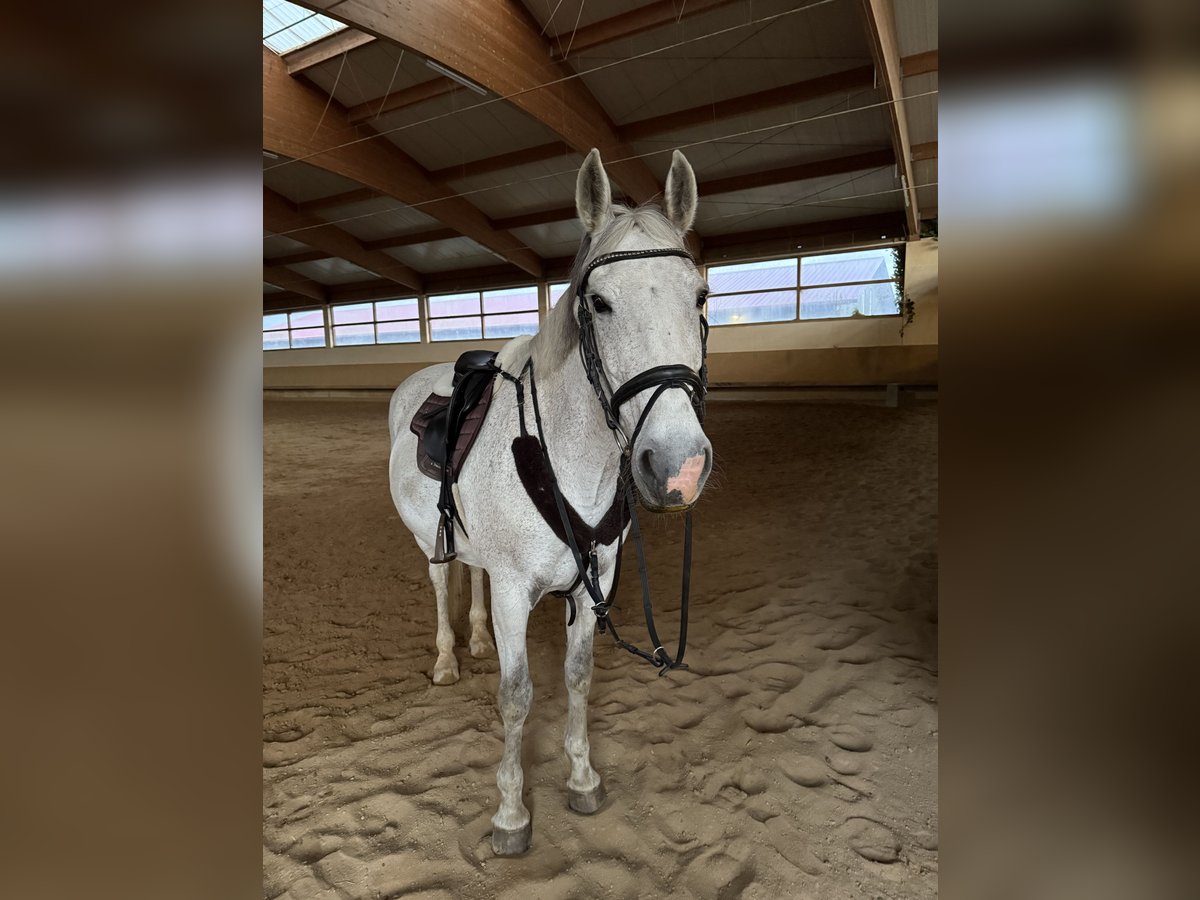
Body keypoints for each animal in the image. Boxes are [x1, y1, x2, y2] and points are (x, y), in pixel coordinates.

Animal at [387, 148, 714, 856]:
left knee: (474, 577)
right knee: (441, 582)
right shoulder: (517, 592)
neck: (570, 462)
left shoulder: (596, 585)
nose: (678, 467)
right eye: (600, 302)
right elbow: (517, 696)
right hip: (429, 542)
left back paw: (478, 641)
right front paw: (511, 815)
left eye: (701, 295)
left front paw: (583, 780)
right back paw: (449, 659)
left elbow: (577, 676)